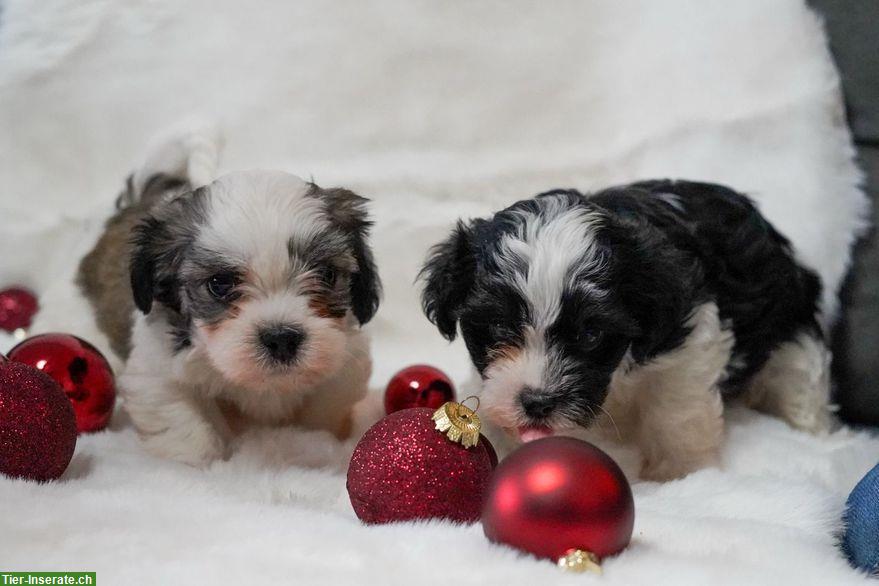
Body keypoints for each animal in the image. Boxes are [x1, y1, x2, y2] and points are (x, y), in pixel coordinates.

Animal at [81, 128, 382, 466]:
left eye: (327, 274)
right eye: (220, 284)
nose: (281, 338)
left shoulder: (345, 361)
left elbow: (323, 408)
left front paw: (312, 443)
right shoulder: (156, 366)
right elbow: (181, 417)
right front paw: (202, 461)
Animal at [420, 179, 832, 480]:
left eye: (590, 336)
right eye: (499, 326)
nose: (537, 403)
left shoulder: (688, 336)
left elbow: (675, 408)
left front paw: (678, 472)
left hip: (792, 334)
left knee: (800, 382)